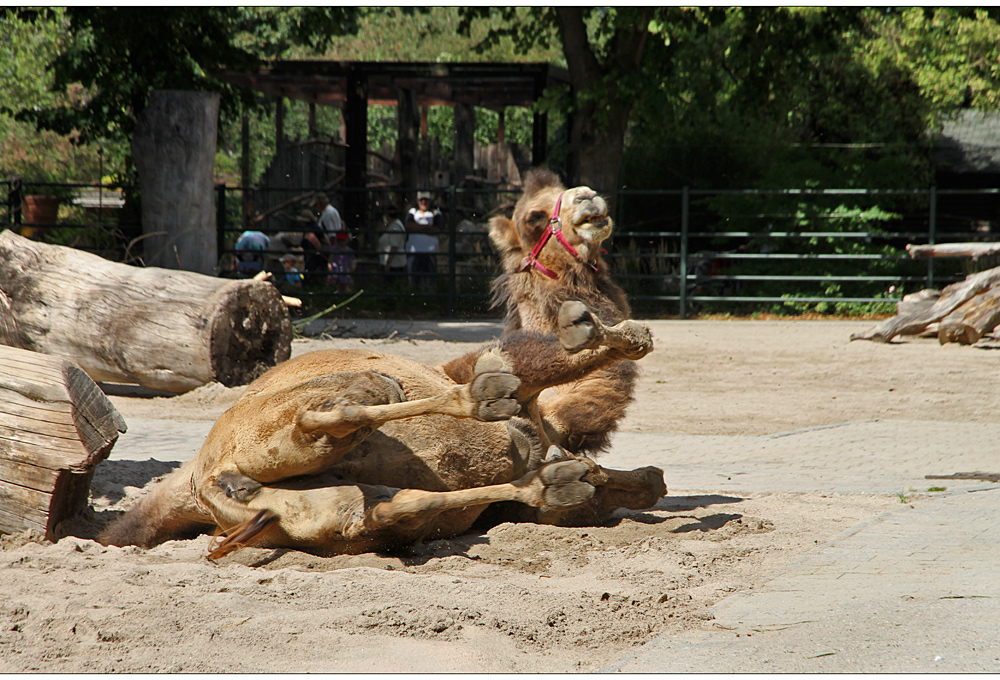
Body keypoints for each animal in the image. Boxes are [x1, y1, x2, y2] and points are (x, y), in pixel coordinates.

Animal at [99, 171, 664, 556]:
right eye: (534, 215)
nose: (588, 198)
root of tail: (205, 479)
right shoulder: (506, 364)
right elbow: (565, 355)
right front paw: (604, 330)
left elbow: (613, 487)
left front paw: (632, 478)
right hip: (288, 423)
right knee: (343, 410)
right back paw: (485, 401)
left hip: (316, 508)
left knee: (385, 508)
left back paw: (554, 478)